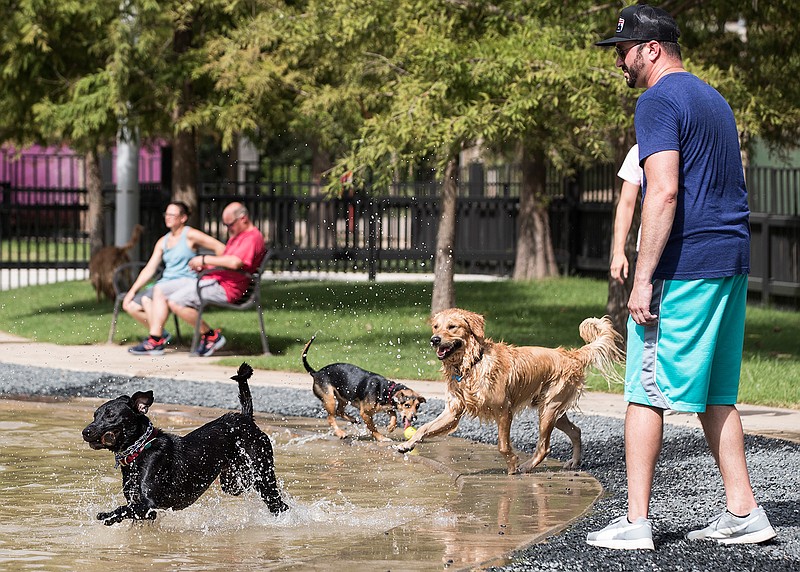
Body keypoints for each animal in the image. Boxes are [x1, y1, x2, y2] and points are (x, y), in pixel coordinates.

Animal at [81, 364, 286, 524]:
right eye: (95, 415)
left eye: (110, 415)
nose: (85, 432)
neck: (140, 450)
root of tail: (245, 418)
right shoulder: (146, 511)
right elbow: (129, 510)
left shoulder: (147, 504)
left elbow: (122, 509)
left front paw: (107, 515)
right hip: (231, 483)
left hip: (262, 474)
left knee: (279, 504)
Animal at [400, 308, 624, 474]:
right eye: (436, 326)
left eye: (452, 327)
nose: (434, 339)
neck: (472, 364)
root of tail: (571, 355)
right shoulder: (453, 411)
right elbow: (425, 427)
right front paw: (407, 444)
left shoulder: (504, 411)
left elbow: (502, 445)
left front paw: (513, 465)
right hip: (554, 409)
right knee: (576, 431)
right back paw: (574, 462)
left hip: (549, 408)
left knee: (544, 446)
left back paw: (527, 466)